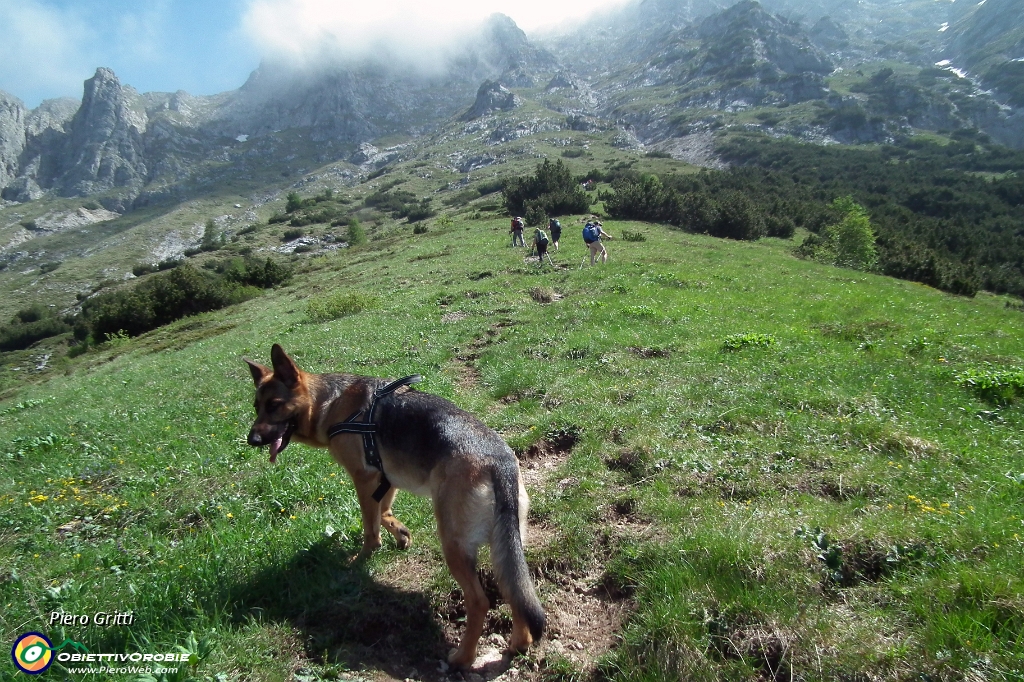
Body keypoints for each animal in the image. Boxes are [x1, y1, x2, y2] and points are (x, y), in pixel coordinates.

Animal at [242, 342, 544, 667]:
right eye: (256, 406)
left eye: (274, 404)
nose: (252, 439)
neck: (329, 403)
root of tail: (499, 461)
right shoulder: (386, 478)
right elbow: (384, 511)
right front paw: (400, 533)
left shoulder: (363, 478)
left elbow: (369, 526)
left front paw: (363, 557)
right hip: (507, 546)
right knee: (514, 591)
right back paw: (518, 644)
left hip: (454, 544)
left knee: (479, 601)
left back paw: (462, 658)